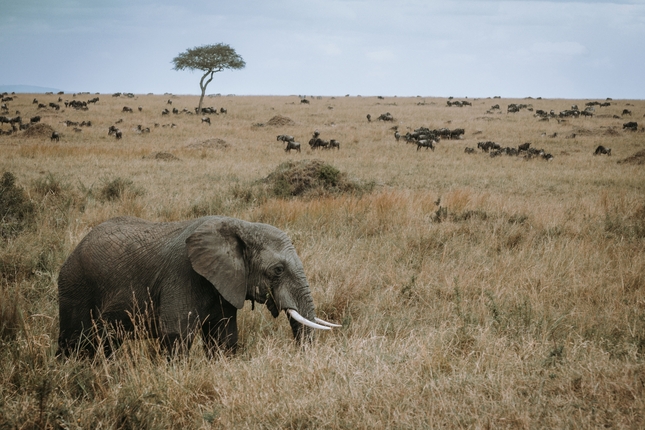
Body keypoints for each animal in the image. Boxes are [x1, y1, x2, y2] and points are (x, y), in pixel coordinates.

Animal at [56, 217, 338, 358]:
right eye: (278, 270)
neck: (239, 226)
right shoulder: (182, 275)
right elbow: (176, 335)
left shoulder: (226, 283)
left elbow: (224, 337)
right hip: (75, 286)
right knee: (74, 340)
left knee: (105, 342)